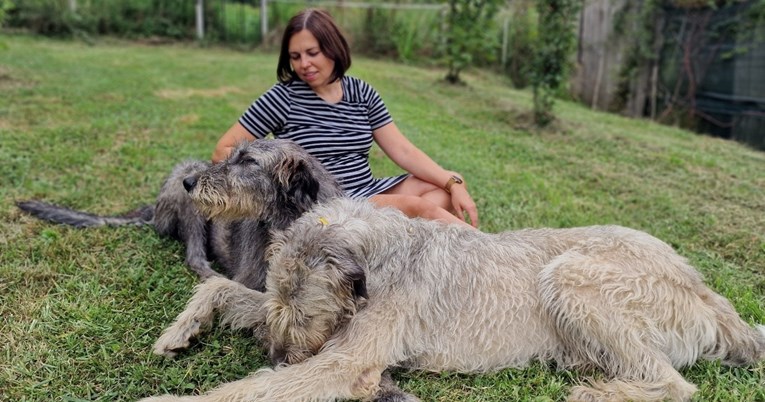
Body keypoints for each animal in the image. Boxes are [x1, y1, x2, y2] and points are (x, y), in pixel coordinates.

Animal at [15, 140, 340, 290]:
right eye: (233, 155)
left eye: (248, 161)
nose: (190, 184)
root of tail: (154, 208)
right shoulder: (251, 278)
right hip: (190, 203)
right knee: (195, 258)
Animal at [142, 196, 764, 402]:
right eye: (280, 303)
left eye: (307, 312)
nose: (274, 353)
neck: (382, 257)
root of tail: (709, 294)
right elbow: (222, 285)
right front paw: (181, 329)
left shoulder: (344, 360)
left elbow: (249, 391)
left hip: (571, 276)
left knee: (678, 386)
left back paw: (600, 392)